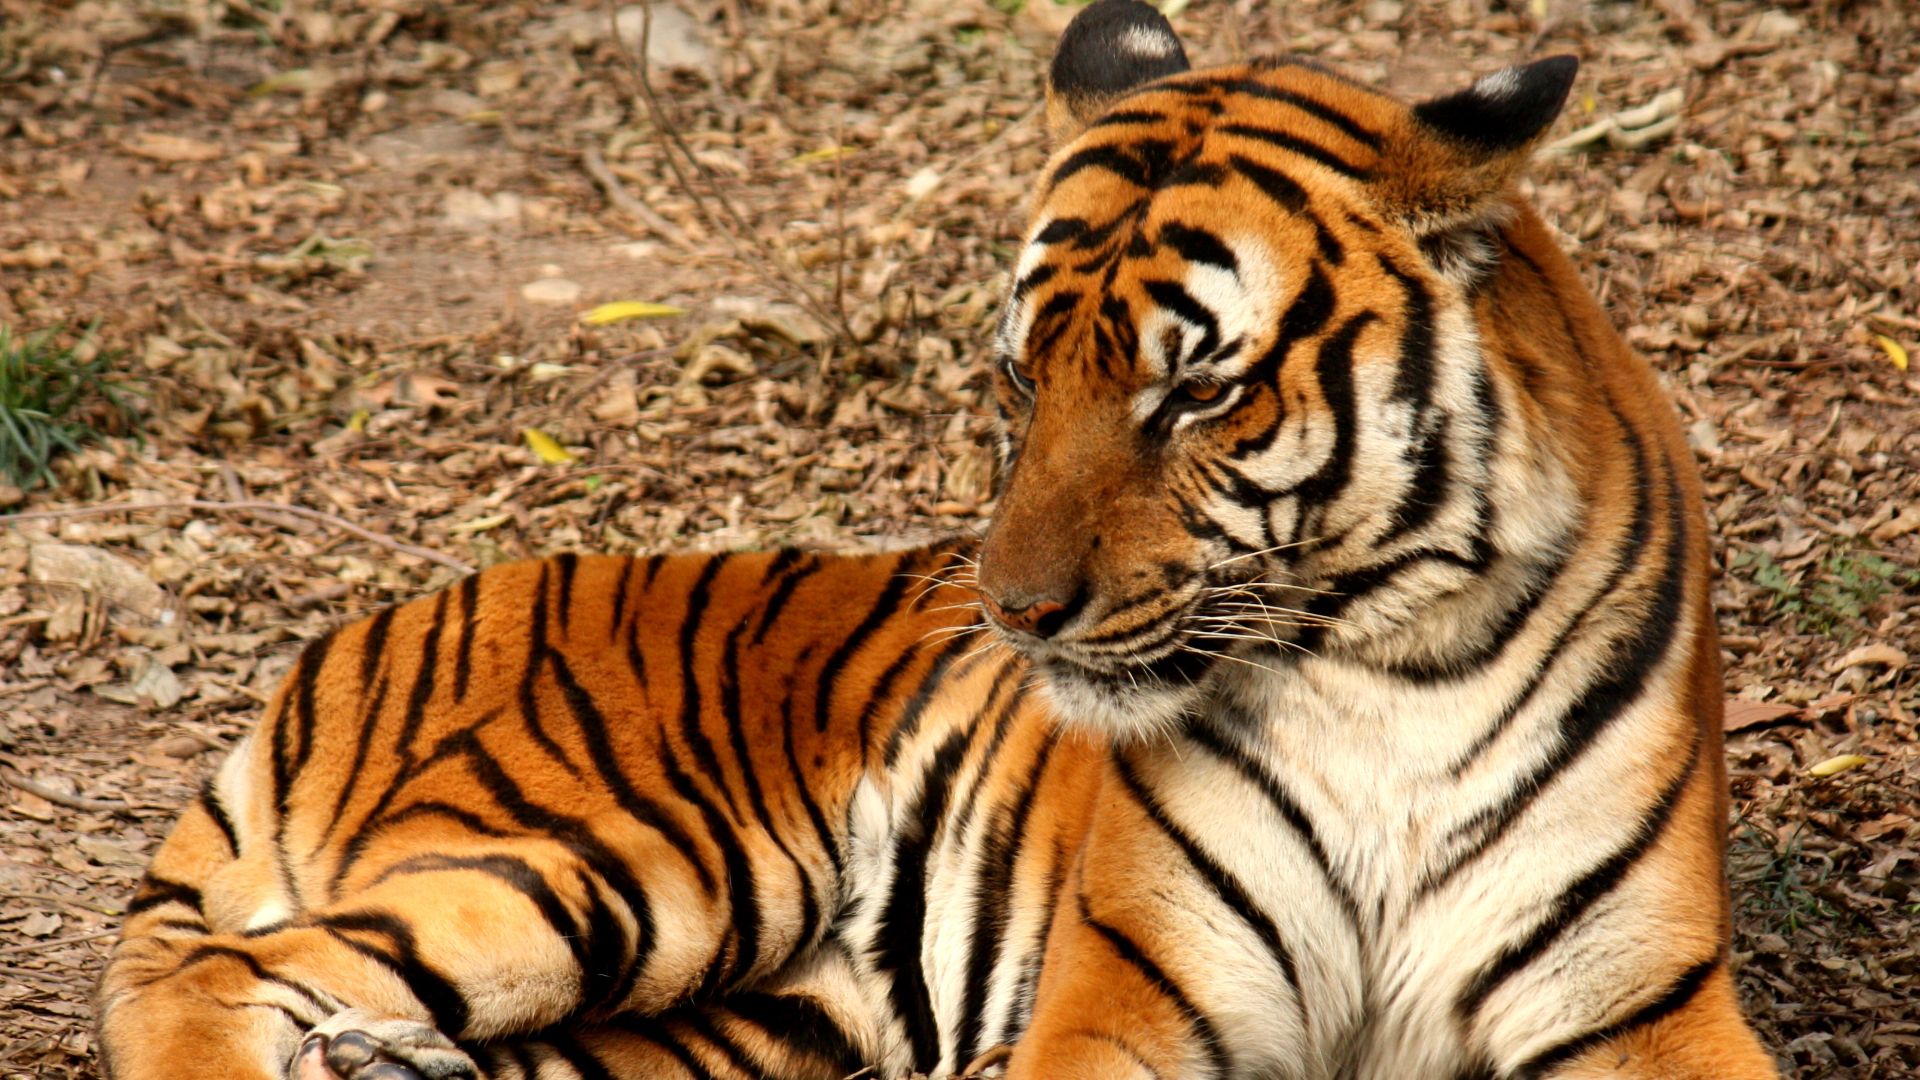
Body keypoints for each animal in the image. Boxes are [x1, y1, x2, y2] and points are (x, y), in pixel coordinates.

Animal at [94, 2, 1777, 1078]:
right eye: (1024, 376)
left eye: (1197, 390)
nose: (1018, 614)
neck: (1383, 668)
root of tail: (352, 639)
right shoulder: (1133, 990)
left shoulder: (1641, 1003)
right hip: (619, 858)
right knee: (211, 978)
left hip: (755, 1014)